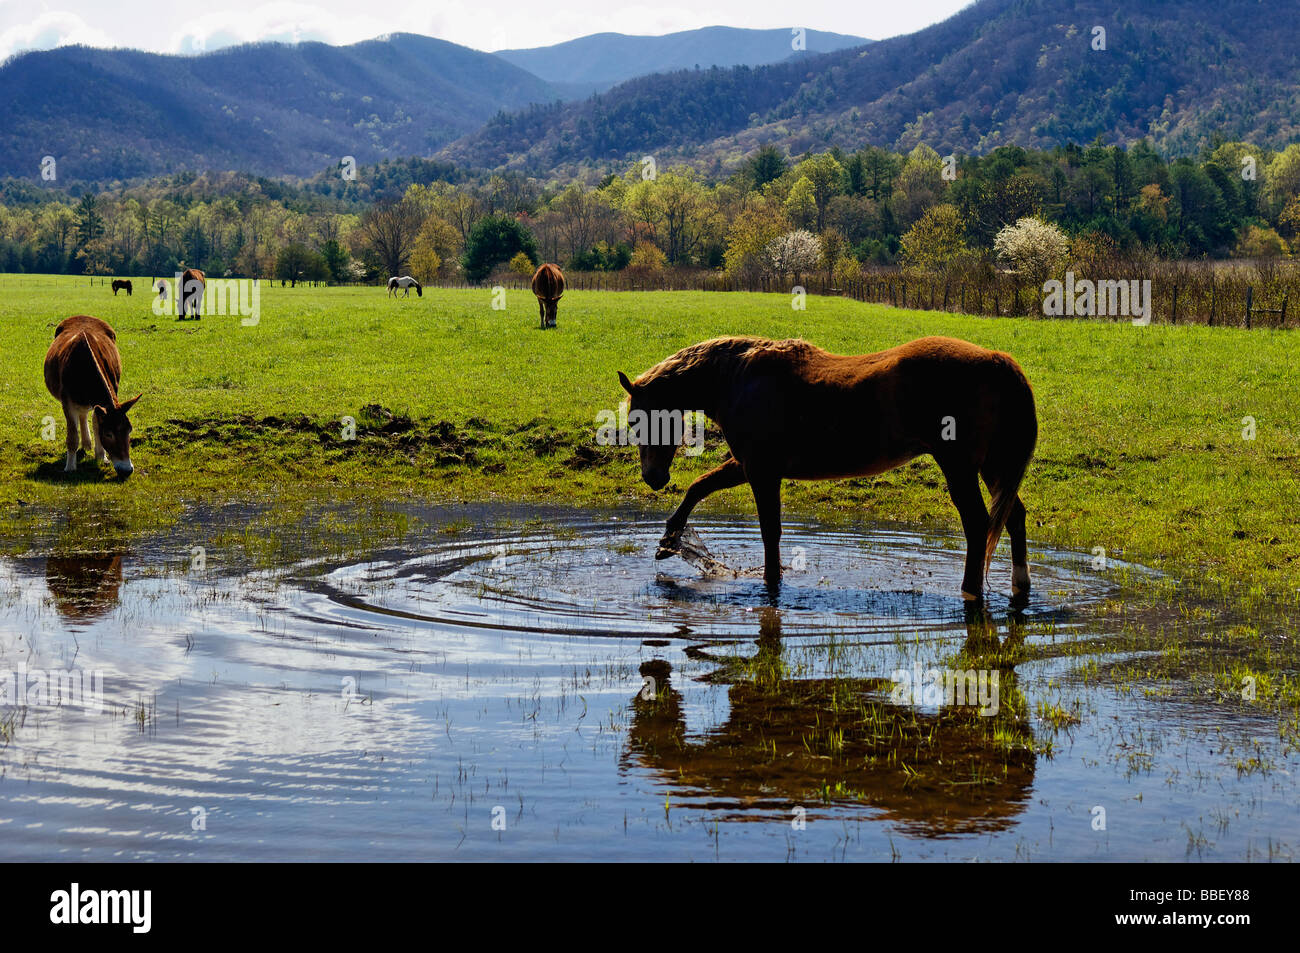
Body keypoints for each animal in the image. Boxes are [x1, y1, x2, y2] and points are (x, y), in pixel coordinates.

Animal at [43, 314, 141, 473]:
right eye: (108, 433)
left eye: (130, 430)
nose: (126, 469)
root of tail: (81, 316)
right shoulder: (66, 400)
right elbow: (72, 435)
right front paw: (70, 467)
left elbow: (96, 422)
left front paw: (101, 456)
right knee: (81, 414)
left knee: (84, 414)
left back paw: (88, 443)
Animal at [618, 335, 1034, 603]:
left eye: (639, 420)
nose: (653, 478)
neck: (736, 378)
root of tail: (997, 360)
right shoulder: (748, 465)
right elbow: (700, 487)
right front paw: (670, 540)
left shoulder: (761, 472)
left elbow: (770, 532)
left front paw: (771, 584)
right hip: (993, 468)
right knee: (1014, 517)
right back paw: (1020, 585)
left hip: (960, 467)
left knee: (978, 525)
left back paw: (970, 591)